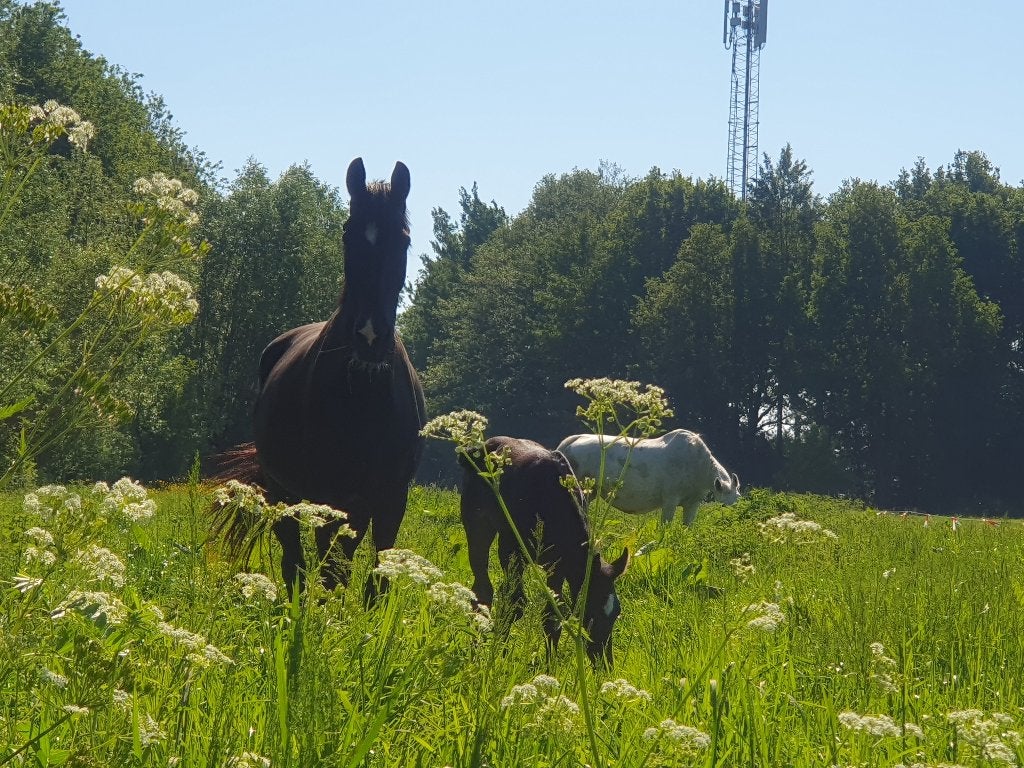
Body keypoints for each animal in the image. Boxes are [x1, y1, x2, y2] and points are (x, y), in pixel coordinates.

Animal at [216, 158, 426, 601]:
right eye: (349, 235)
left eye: (402, 240)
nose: (369, 337)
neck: (363, 397)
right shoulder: (328, 498)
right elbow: (330, 572)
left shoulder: (390, 500)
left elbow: (377, 578)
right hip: (286, 494)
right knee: (293, 560)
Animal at [459, 436, 629, 665]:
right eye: (590, 609)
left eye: (616, 612)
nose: (604, 661)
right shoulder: (511, 549)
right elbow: (513, 601)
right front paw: (500, 656)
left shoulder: (558, 565)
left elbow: (552, 614)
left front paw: (549, 665)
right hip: (477, 525)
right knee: (482, 588)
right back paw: (476, 647)